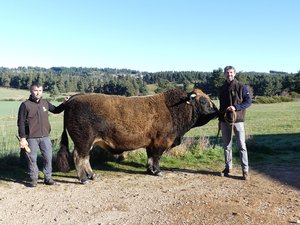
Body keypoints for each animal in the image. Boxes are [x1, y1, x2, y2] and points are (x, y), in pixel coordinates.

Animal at [56, 87, 218, 184]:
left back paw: (92, 175)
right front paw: (157, 171)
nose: (216, 111)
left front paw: (149, 170)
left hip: (87, 143)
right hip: (83, 142)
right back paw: (84, 179)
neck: (173, 108)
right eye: (203, 101)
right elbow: (156, 158)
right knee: (79, 158)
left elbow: (150, 157)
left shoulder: (151, 143)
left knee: (85, 159)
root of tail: (73, 98)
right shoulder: (160, 143)